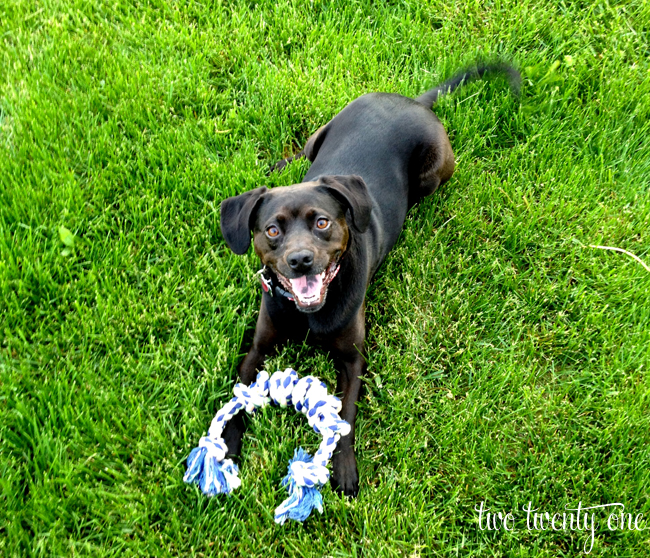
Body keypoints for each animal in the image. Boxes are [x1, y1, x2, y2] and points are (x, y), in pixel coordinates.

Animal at [218, 63, 516, 496]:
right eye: (272, 230)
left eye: (322, 222)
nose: (300, 260)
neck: (310, 315)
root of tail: (413, 102)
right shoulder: (258, 348)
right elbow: (239, 399)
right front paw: (225, 445)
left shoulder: (353, 358)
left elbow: (345, 416)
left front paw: (342, 467)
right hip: (322, 133)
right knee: (301, 151)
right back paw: (276, 167)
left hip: (434, 172)